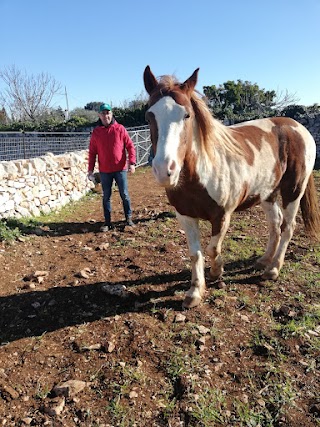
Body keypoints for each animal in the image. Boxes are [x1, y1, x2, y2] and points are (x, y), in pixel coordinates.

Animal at [143, 65, 320, 310]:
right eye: (149, 116)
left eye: (186, 115)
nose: (164, 170)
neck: (201, 172)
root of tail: (298, 127)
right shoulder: (185, 216)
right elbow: (195, 253)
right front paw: (195, 291)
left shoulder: (222, 215)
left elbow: (212, 248)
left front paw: (216, 272)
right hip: (268, 194)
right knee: (275, 224)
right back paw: (264, 260)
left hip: (293, 191)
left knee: (288, 227)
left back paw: (273, 269)